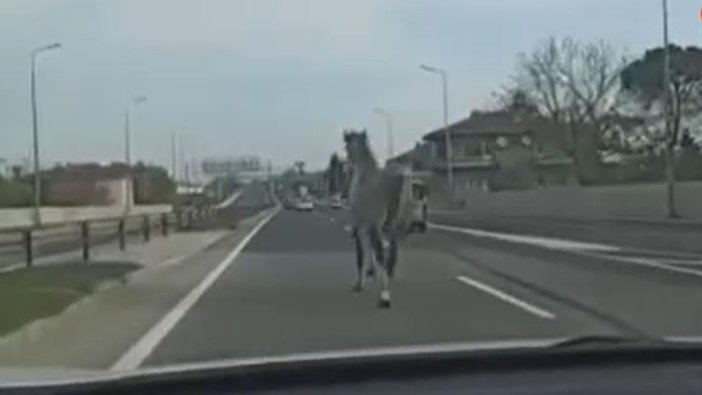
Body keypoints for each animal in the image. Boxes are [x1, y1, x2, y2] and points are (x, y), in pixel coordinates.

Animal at [346, 130, 416, 310]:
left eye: (347, 145)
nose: (347, 164)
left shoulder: (362, 224)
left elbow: (361, 253)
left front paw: (360, 283)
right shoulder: (370, 226)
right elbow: (371, 248)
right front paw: (371, 271)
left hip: (381, 225)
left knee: (382, 253)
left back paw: (384, 295)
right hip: (397, 223)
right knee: (392, 249)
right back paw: (389, 273)